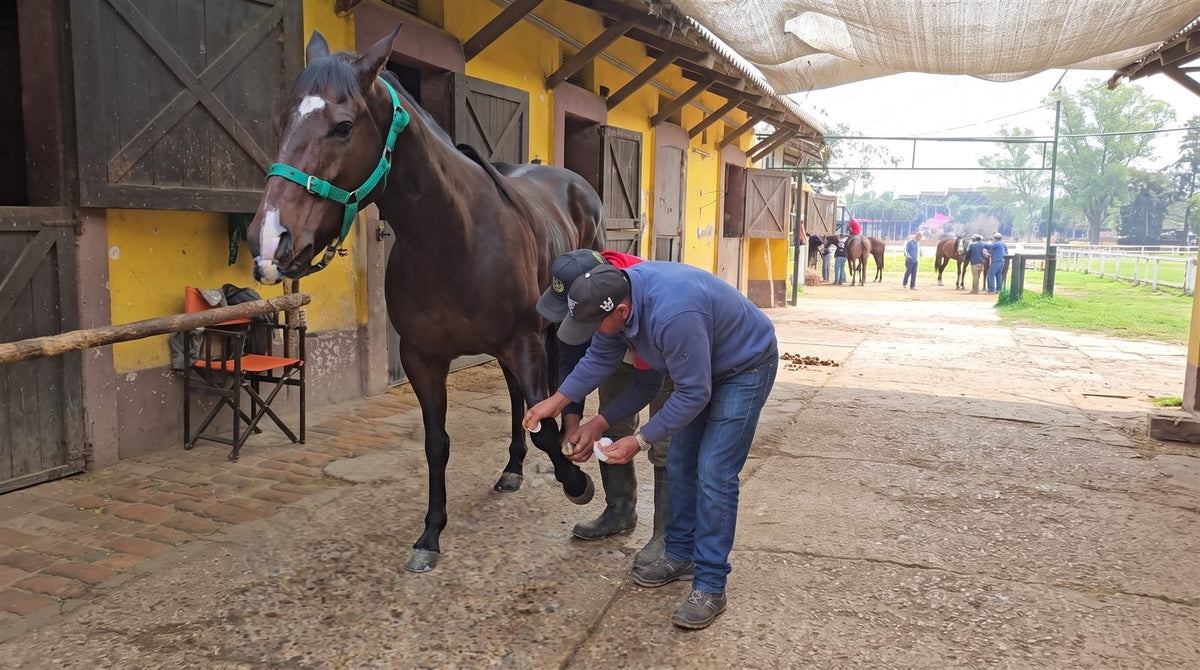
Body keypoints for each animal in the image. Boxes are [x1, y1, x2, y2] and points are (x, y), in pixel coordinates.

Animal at [245, 25, 604, 573]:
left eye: (343, 127)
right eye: (281, 122)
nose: (269, 243)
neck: (457, 241)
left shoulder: (523, 342)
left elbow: (543, 425)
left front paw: (577, 482)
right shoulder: (423, 357)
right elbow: (438, 443)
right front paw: (431, 534)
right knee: (516, 398)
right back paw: (513, 467)